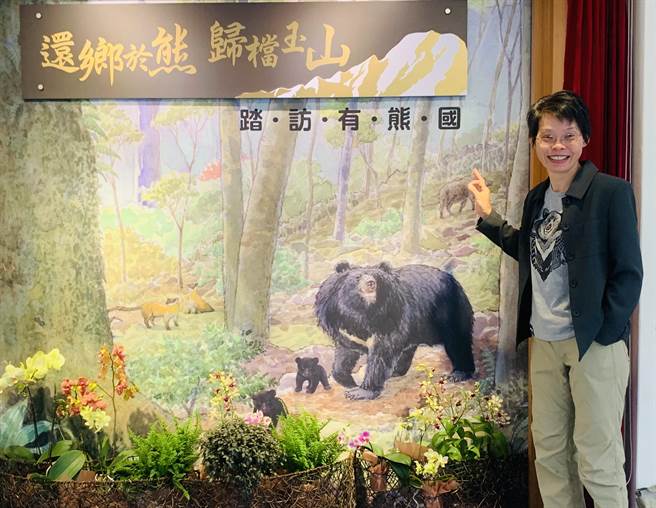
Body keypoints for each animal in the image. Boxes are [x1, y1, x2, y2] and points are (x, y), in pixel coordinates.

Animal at [314, 261, 475, 400]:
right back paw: (396, 371)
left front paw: (360, 392)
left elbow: (381, 354)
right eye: (357, 277)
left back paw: (458, 374)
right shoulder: (339, 323)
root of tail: (453, 280)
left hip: (448, 310)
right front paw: (349, 382)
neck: (362, 311)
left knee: (457, 341)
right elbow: (345, 352)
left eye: (376, 277)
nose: (371, 283)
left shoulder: (391, 316)